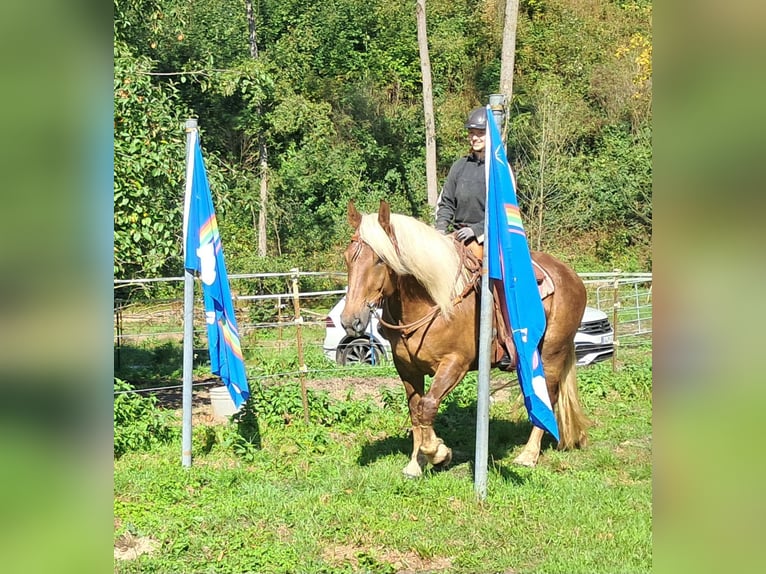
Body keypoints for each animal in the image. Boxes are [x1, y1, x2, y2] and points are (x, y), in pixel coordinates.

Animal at [344, 200, 592, 480]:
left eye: (380, 260)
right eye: (347, 258)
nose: (350, 320)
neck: (432, 299)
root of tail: (571, 275)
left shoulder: (455, 363)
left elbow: (428, 406)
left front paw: (439, 453)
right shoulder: (406, 368)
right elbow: (416, 410)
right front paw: (417, 462)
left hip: (551, 352)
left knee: (547, 394)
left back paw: (528, 455)